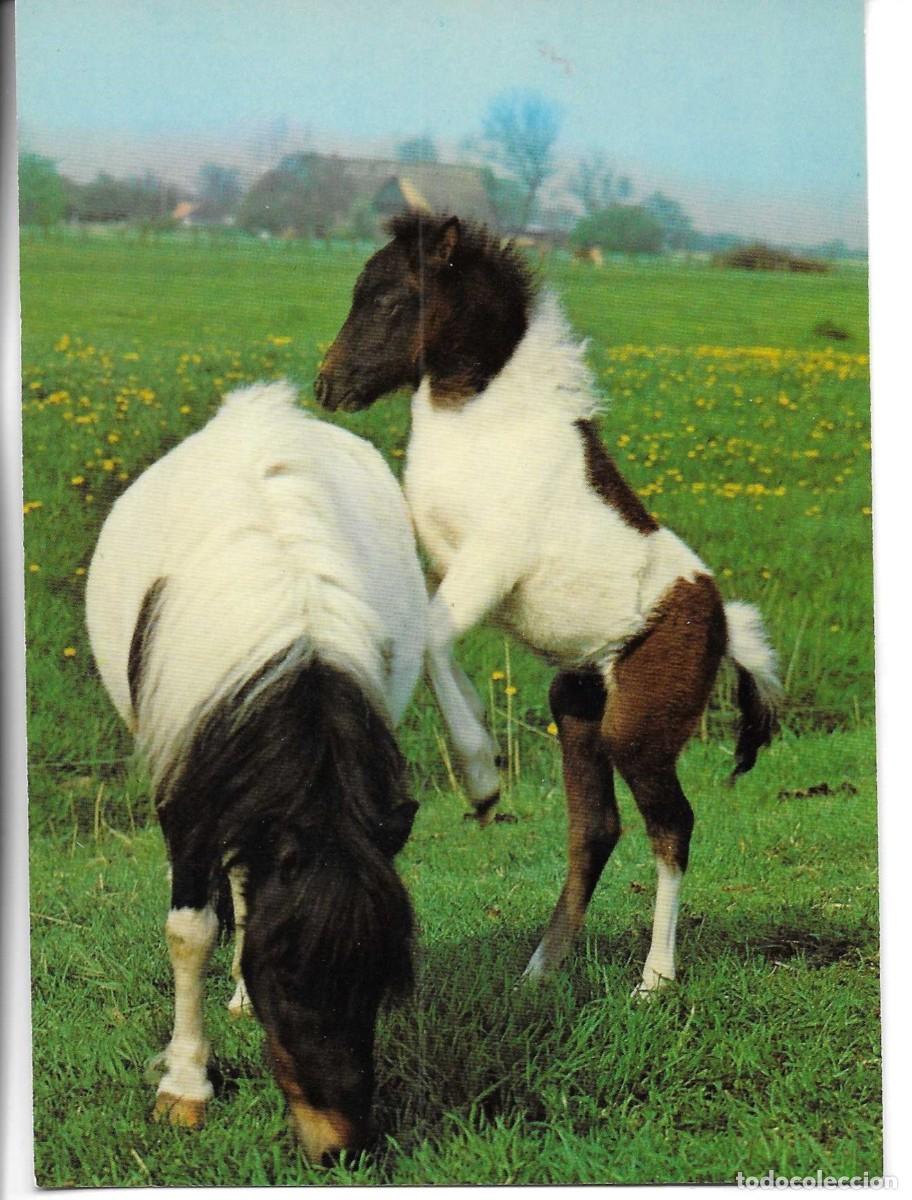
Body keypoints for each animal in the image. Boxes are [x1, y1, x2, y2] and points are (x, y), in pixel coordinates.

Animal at [86, 381, 427, 1161]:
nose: (343, 1147)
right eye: (291, 977)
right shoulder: (188, 788)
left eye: (380, 978)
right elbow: (190, 931)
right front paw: (185, 1086)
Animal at [315, 213, 781, 994]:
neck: (484, 425)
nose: (329, 385)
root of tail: (723, 626)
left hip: (637, 730)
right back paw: (540, 969)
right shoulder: (443, 558)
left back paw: (655, 979)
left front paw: (481, 779)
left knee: (672, 827)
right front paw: (480, 741)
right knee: (595, 830)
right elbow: (428, 636)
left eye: (388, 297)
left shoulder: (490, 562)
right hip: (577, 703)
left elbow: (432, 636)